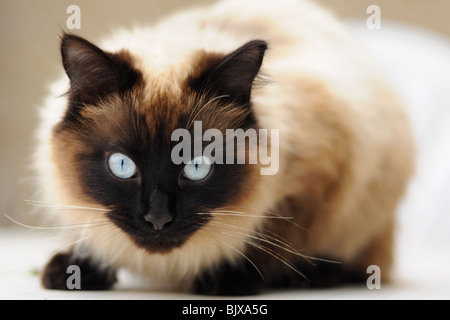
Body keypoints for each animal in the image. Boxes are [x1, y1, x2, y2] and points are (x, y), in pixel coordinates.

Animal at [35, 0, 414, 296]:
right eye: (122, 166)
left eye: (197, 167)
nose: (158, 218)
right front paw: (75, 271)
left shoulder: (317, 179)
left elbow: (271, 235)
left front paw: (227, 277)